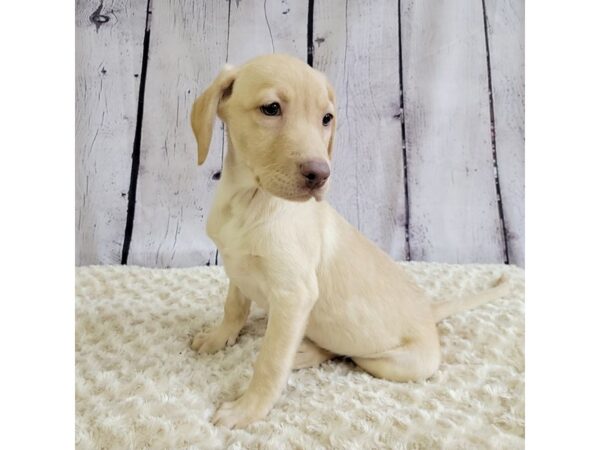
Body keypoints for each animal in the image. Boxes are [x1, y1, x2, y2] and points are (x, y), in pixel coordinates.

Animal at [190, 54, 508, 428]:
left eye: (326, 119)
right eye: (271, 109)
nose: (320, 174)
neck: (249, 200)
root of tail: (429, 313)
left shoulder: (294, 296)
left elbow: (270, 361)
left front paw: (248, 409)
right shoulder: (237, 265)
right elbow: (234, 307)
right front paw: (218, 337)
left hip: (393, 363)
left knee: (347, 352)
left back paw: (305, 352)